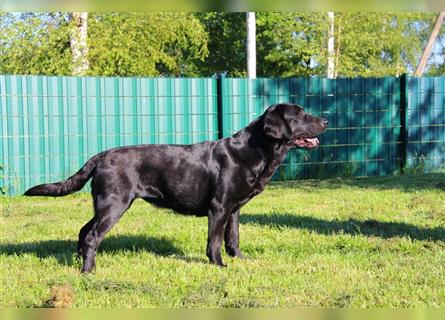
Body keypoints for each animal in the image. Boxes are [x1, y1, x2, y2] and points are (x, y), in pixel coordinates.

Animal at [25, 103, 326, 272]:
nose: (325, 121)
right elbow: (215, 241)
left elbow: (233, 238)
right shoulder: (219, 207)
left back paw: (80, 262)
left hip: (105, 203)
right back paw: (89, 271)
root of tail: (101, 155)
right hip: (114, 203)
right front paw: (218, 265)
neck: (255, 150)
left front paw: (240, 259)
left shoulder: (234, 209)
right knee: (91, 236)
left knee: (83, 231)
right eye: (300, 114)